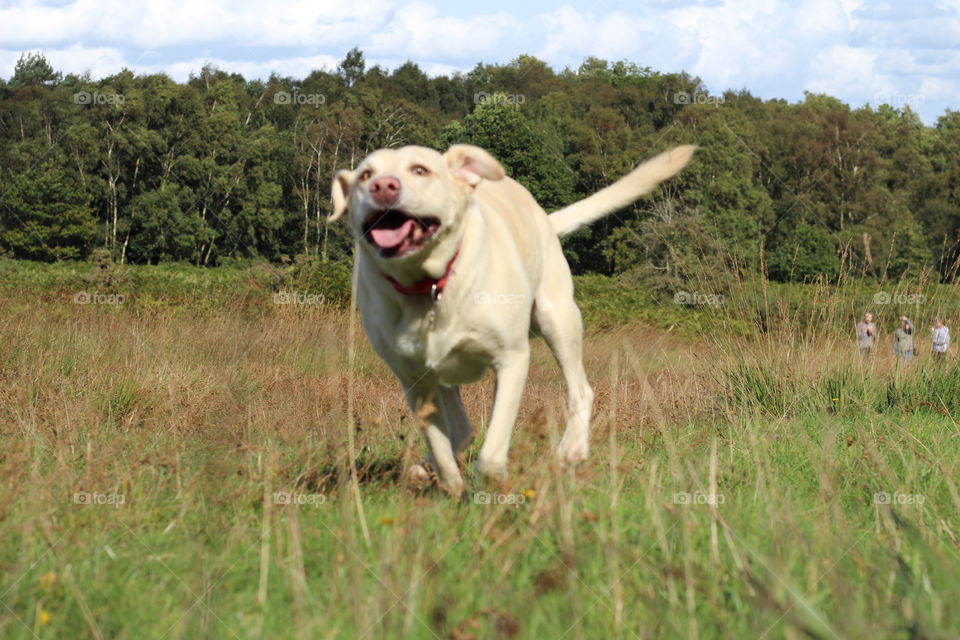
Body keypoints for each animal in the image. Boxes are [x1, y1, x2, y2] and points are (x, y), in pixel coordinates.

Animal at [330, 144, 688, 496]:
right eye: (365, 175)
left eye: (420, 170)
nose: (382, 186)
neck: (431, 284)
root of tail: (544, 217)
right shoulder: (415, 381)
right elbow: (441, 447)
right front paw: (450, 484)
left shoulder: (511, 359)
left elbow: (492, 449)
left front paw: (495, 485)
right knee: (462, 428)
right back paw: (427, 467)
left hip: (557, 319)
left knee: (581, 390)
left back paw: (571, 450)